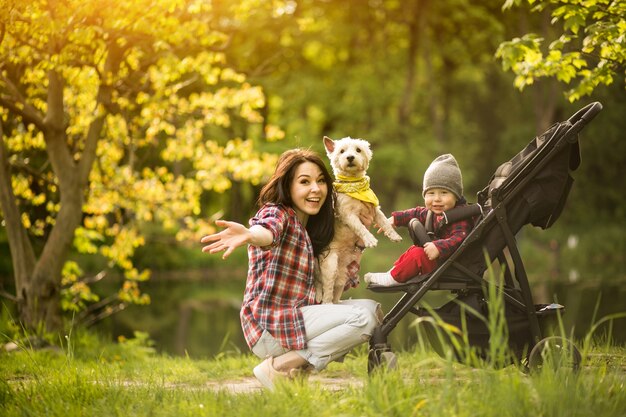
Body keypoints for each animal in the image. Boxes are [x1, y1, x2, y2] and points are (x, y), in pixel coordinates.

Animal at [314, 136, 402, 302]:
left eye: (358, 150)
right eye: (342, 151)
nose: (350, 157)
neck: (354, 185)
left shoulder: (375, 210)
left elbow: (384, 222)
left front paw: (394, 235)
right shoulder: (348, 215)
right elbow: (360, 227)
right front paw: (370, 239)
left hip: (343, 276)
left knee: (336, 295)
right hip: (330, 267)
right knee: (327, 294)